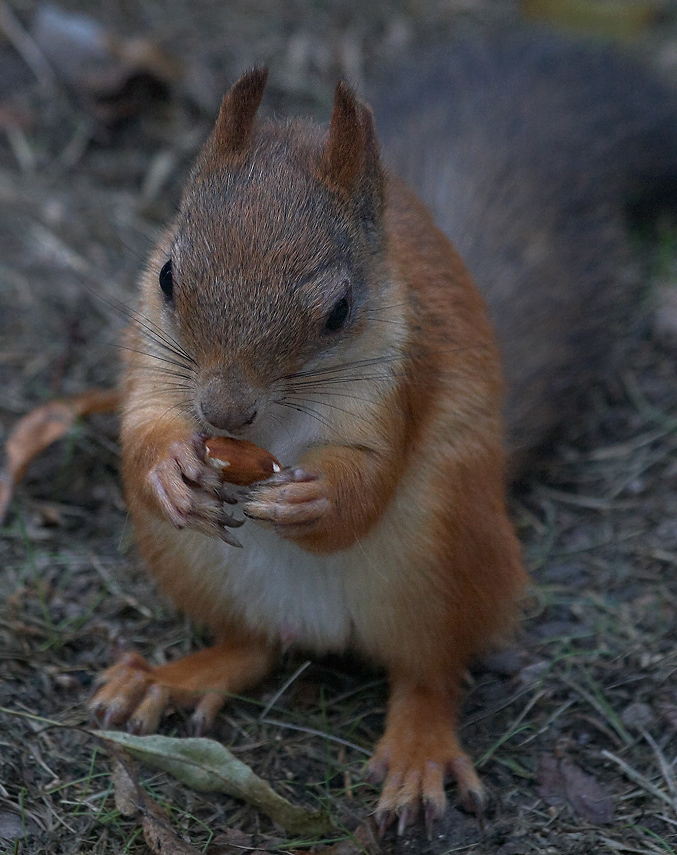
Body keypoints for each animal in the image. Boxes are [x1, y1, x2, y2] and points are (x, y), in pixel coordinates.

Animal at [87, 31, 676, 836]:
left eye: (338, 310)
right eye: (169, 275)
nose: (223, 414)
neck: (273, 426)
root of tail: (320, 628)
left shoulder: (400, 381)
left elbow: (366, 480)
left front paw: (313, 502)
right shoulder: (153, 361)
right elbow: (146, 421)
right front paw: (171, 469)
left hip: (438, 550)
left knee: (430, 672)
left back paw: (418, 754)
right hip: (188, 562)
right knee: (253, 646)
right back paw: (170, 677)